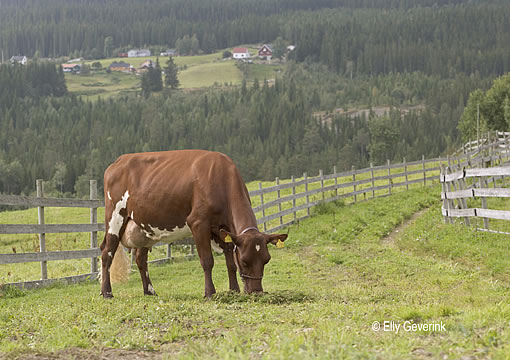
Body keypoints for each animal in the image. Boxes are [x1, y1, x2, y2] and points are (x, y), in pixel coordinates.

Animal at [99, 149, 286, 298]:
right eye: (246, 261)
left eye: (266, 260)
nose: (257, 292)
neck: (221, 178)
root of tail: (118, 162)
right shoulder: (198, 223)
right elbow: (207, 260)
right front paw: (210, 293)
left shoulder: (223, 229)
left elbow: (231, 263)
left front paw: (234, 290)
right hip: (115, 217)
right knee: (107, 252)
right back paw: (107, 292)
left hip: (144, 227)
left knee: (140, 258)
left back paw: (150, 291)